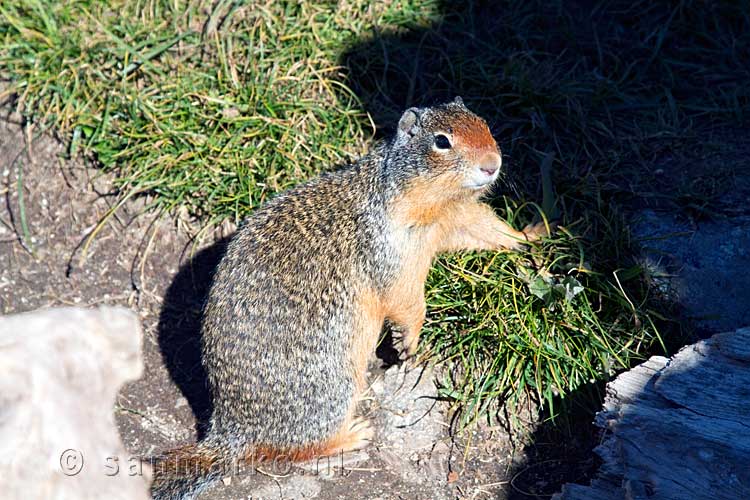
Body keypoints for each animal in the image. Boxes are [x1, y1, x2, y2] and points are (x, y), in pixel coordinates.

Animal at [151, 97, 552, 500]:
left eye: (483, 123)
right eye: (442, 141)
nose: (492, 163)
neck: (430, 201)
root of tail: (231, 431)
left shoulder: (459, 218)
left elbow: (491, 229)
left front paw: (535, 233)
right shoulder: (390, 253)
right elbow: (405, 299)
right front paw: (408, 341)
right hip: (334, 387)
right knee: (293, 448)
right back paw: (354, 434)